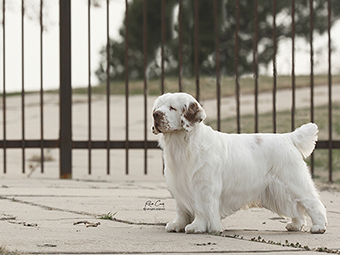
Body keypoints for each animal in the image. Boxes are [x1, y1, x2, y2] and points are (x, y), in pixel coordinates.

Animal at [151, 92, 326, 234]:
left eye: (172, 108)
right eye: (157, 107)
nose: (155, 114)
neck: (182, 144)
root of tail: (288, 137)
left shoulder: (203, 187)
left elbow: (201, 209)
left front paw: (197, 227)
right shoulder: (179, 185)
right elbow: (181, 209)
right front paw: (177, 224)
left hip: (294, 181)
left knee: (312, 202)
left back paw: (319, 227)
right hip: (281, 190)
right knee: (295, 207)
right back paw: (295, 225)